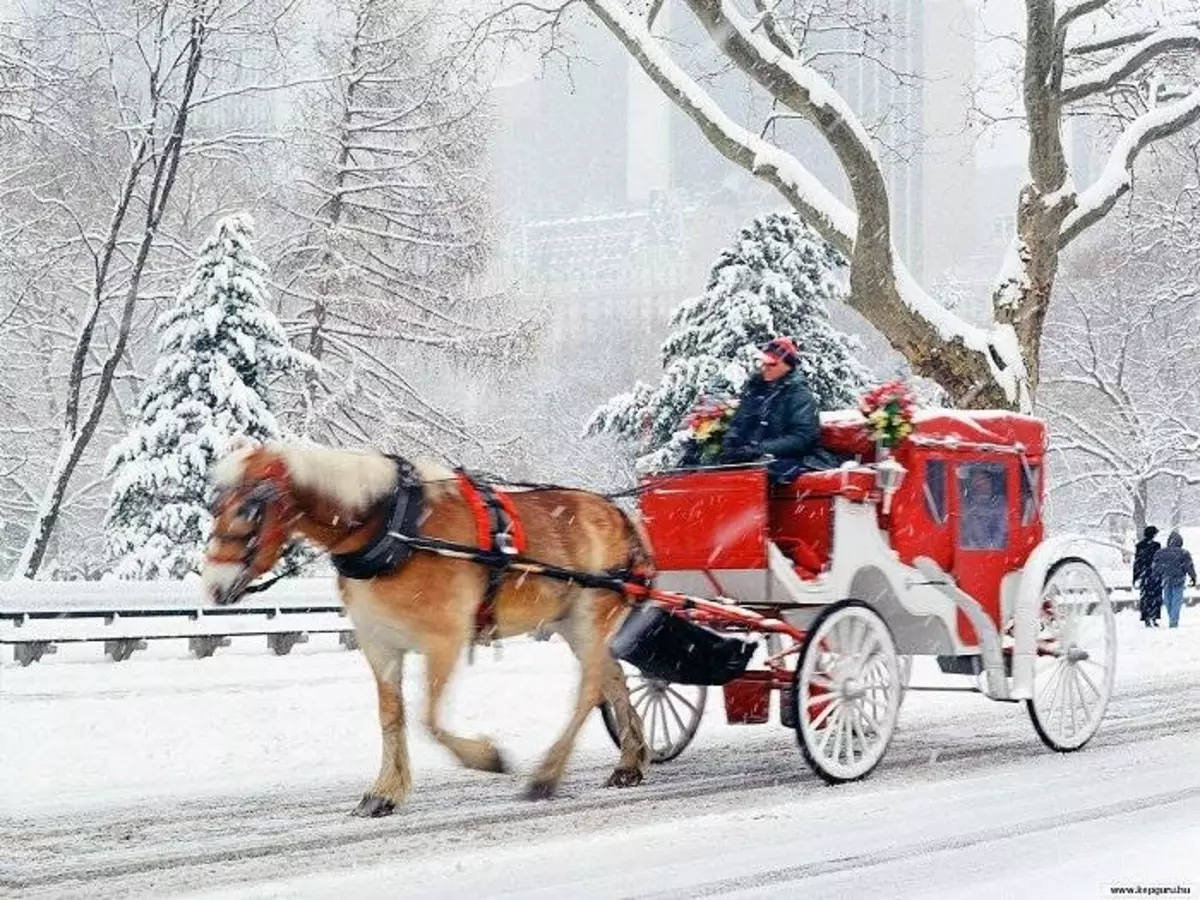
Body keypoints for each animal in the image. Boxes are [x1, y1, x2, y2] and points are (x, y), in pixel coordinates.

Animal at [201, 441, 652, 816]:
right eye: (214, 508)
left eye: (247, 510)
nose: (214, 587)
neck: (391, 527)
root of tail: (620, 516)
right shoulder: (379, 643)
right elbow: (392, 716)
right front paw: (384, 792)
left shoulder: (444, 640)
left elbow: (428, 719)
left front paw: (485, 757)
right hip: (572, 624)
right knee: (612, 680)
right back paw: (630, 761)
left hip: (591, 616)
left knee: (589, 689)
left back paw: (548, 773)